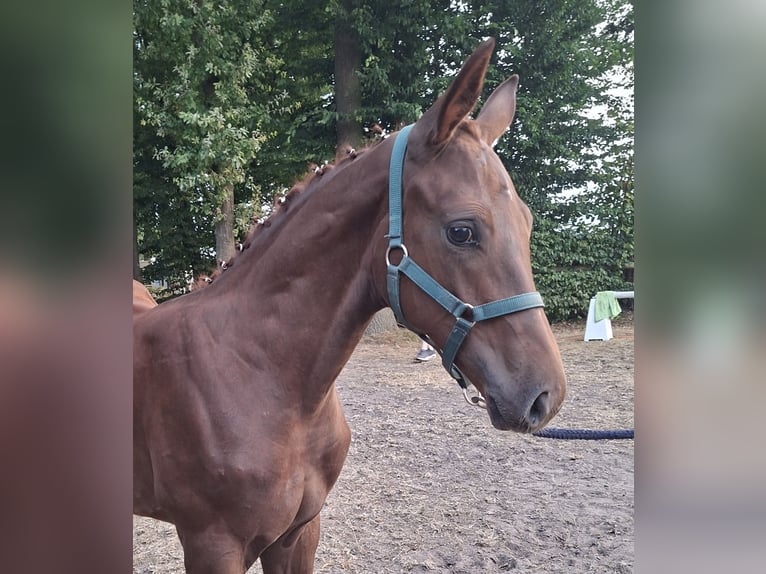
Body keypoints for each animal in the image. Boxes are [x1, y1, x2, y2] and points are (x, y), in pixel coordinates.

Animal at [133, 38, 567, 573]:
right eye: (462, 231)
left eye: (526, 222)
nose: (545, 396)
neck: (258, 372)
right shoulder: (212, 545)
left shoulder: (299, 533)